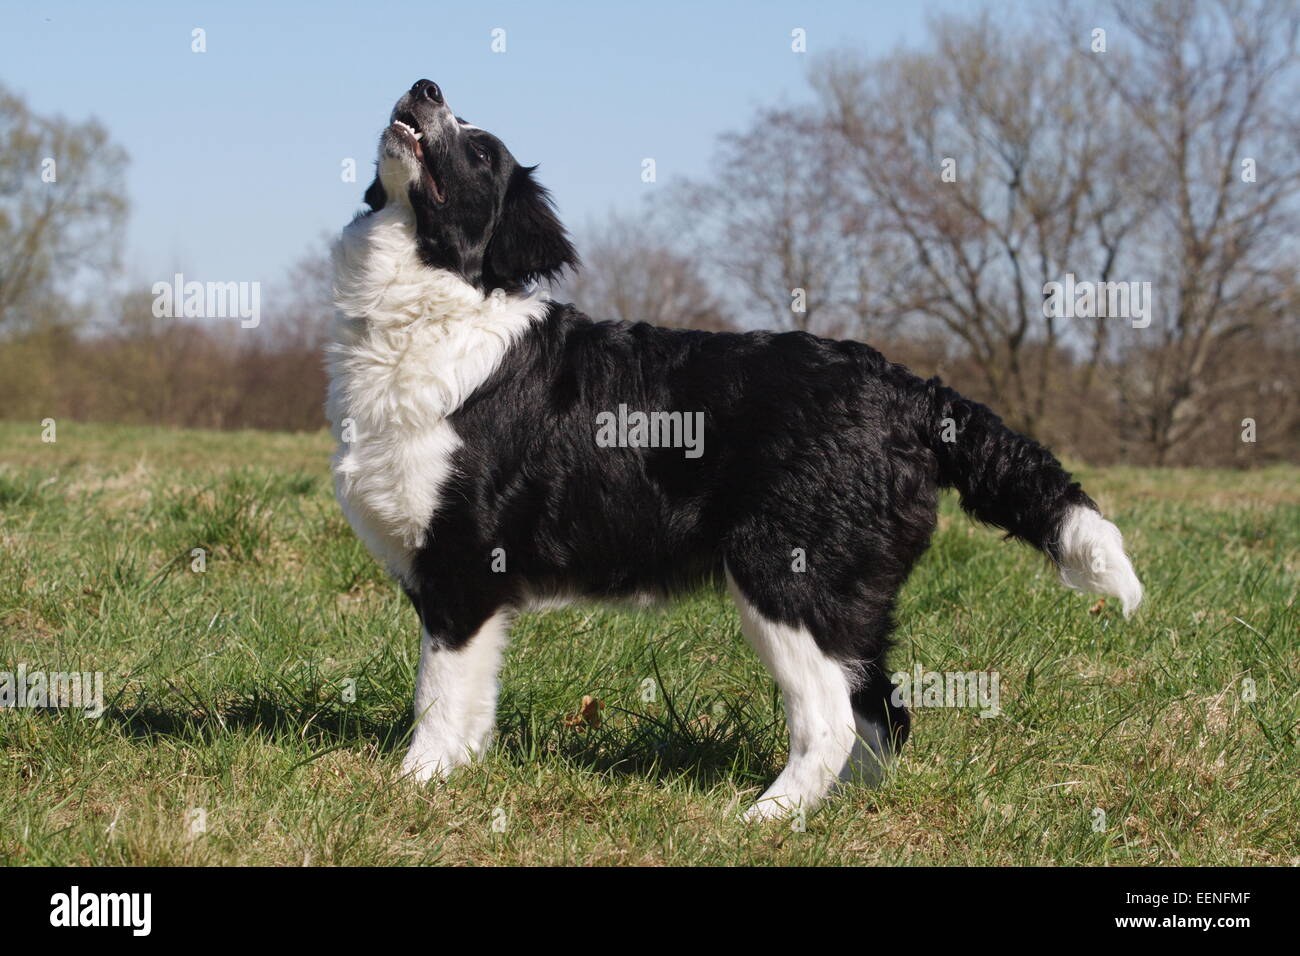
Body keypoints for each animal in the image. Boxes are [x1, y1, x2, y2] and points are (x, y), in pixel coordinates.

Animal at [330, 80, 1144, 822]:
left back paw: (765, 819)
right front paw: (454, 778)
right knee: (883, 710)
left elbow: (440, 695)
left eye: (478, 153)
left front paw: (414, 785)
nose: (425, 86)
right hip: (850, 599)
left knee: (834, 718)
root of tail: (910, 389)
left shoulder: (465, 565)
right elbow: (468, 701)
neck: (436, 307)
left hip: (786, 576)